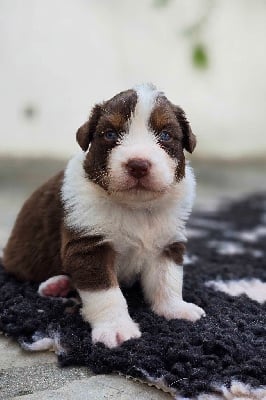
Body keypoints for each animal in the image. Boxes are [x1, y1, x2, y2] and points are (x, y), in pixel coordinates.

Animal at [2, 83, 206, 346]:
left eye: (165, 135)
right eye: (110, 134)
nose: (138, 165)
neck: (135, 208)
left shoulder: (167, 243)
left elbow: (167, 280)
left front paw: (175, 309)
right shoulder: (89, 247)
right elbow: (106, 294)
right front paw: (116, 328)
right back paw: (55, 285)